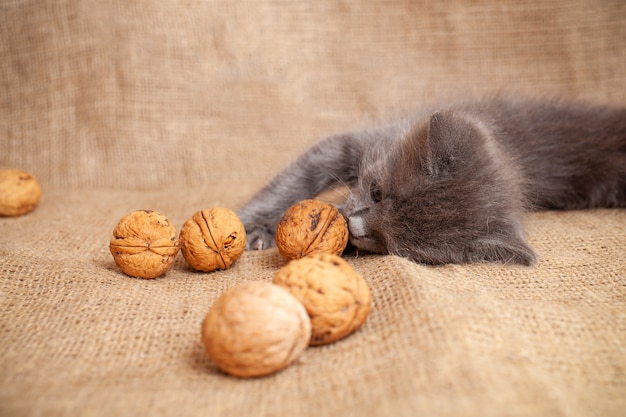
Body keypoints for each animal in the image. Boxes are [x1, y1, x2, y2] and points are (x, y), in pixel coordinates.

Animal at [235, 97, 624, 264]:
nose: (354, 225)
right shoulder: (353, 144)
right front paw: (252, 228)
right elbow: (295, 179)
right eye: (377, 192)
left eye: (391, 242)